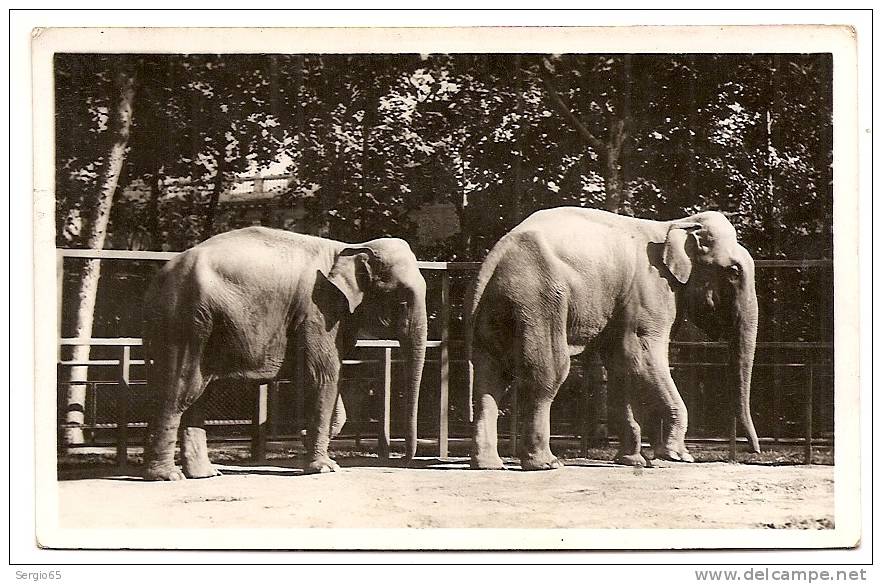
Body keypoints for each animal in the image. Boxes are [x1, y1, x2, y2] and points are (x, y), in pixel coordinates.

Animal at [143, 227, 428, 480]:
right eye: (403, 300)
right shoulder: (317, 309)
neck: (350, 247)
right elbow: (324, 375)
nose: (404, 461)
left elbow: (331, 380)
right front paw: (325, 468)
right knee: (180, 390)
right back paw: (169, 476)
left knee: (198, 393)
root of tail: (156, 283)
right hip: (185, 321)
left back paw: (205, 474)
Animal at [464, 206, 760, 470]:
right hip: (539, 297)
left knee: (489, 377)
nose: (754, 451)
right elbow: (640, 357)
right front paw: (677, 457)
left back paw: (489, 465)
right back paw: (547, 464)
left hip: (497, 308)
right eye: (733, 272)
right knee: (547, 374)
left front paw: (633, 461)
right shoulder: (651, 289)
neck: (674, 224)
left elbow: (621, 364)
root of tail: (495, 257)